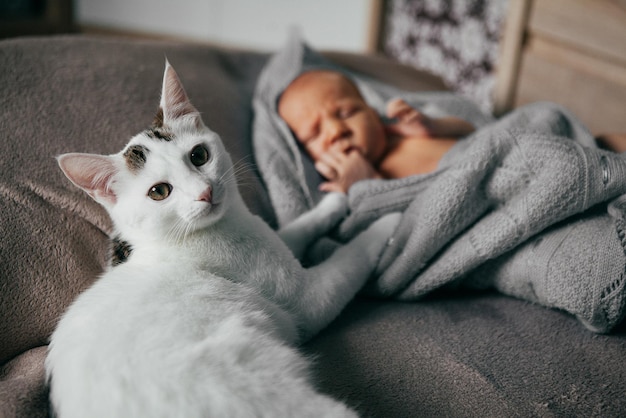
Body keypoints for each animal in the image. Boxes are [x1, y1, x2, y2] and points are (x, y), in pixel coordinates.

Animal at [47, 59, 400, 418]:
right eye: (159, 192)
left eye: (199, 155)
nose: (205, 192)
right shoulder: (309, 298)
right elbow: (353, 256)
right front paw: (388, 220)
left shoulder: (266, 233)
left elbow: (295, 230)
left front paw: (335, 201)